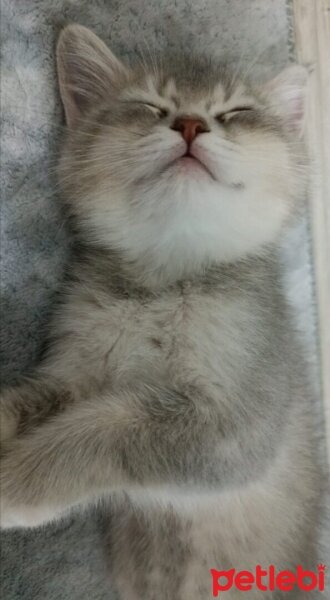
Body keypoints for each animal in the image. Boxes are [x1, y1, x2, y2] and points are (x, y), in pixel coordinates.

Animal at [0, 24, 324, 600]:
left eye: (237, 111)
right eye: (149, 106)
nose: (191, 124)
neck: (160, 287)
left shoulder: (240, 422)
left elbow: (104, 429)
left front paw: (16, 481)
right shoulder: (73, 374)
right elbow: (30, 404)